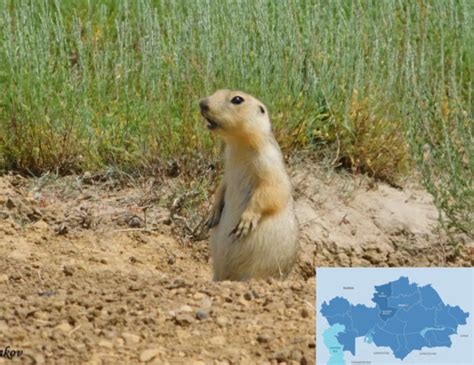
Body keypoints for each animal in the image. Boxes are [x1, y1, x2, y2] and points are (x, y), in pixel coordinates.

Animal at [199, 89, 296, 282]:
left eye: (237, 99)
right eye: (217, 91)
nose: (202, 103)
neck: (239, 146)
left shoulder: (269, 163)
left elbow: (271, 190)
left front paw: (245, 222)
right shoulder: (228, 168)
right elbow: (222, 186)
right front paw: (212, 215)